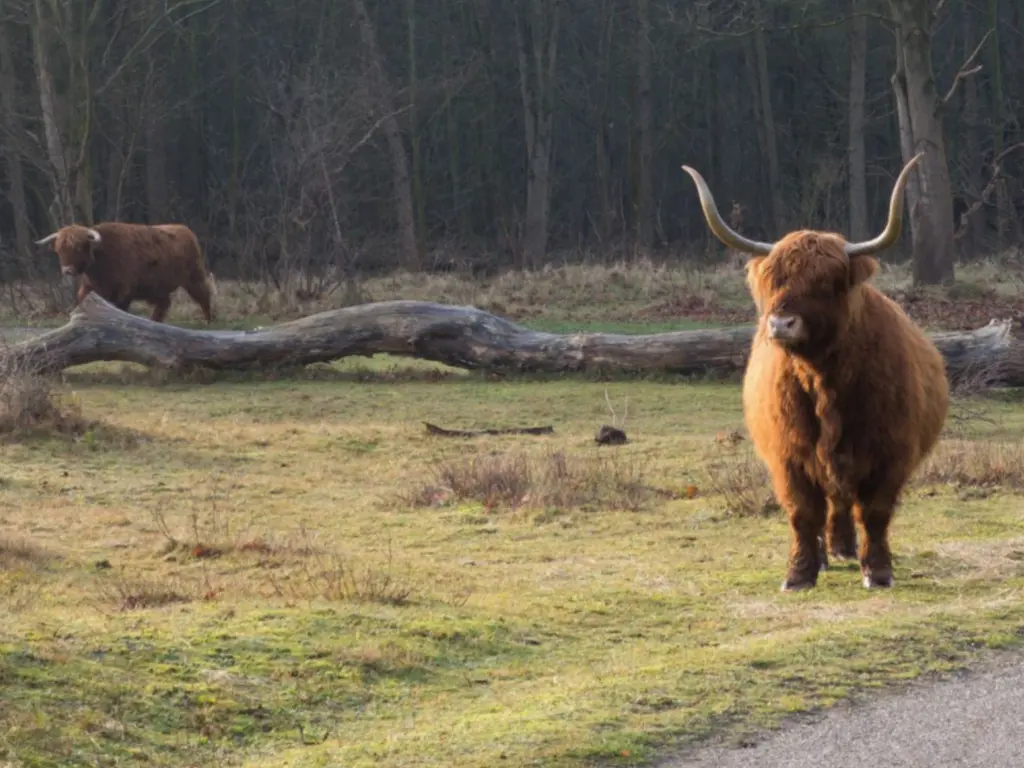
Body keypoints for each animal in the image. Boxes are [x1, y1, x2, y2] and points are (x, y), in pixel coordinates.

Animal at [36, 221, 218, 323]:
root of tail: (185, 230)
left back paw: (209, 320)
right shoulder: (89, 287)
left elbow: (119, 309)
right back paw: (154, 321)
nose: (67, 270)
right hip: (155, 288)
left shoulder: (122, 291)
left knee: (203, 295)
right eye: (59, 250)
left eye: (79, 247)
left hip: (194, 277)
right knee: (164, 303)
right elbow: (82, 300)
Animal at [679, 153, 950, 593]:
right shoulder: (788, 456)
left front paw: (877, 571)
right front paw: (800, 573)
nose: (781, 324)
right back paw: (827, 555)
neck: (823, 380)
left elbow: (874, 512)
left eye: (826, 282)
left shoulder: (889, 454)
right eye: (774, 280)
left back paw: (843, 549)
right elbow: (803, 513)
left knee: (844, 502)